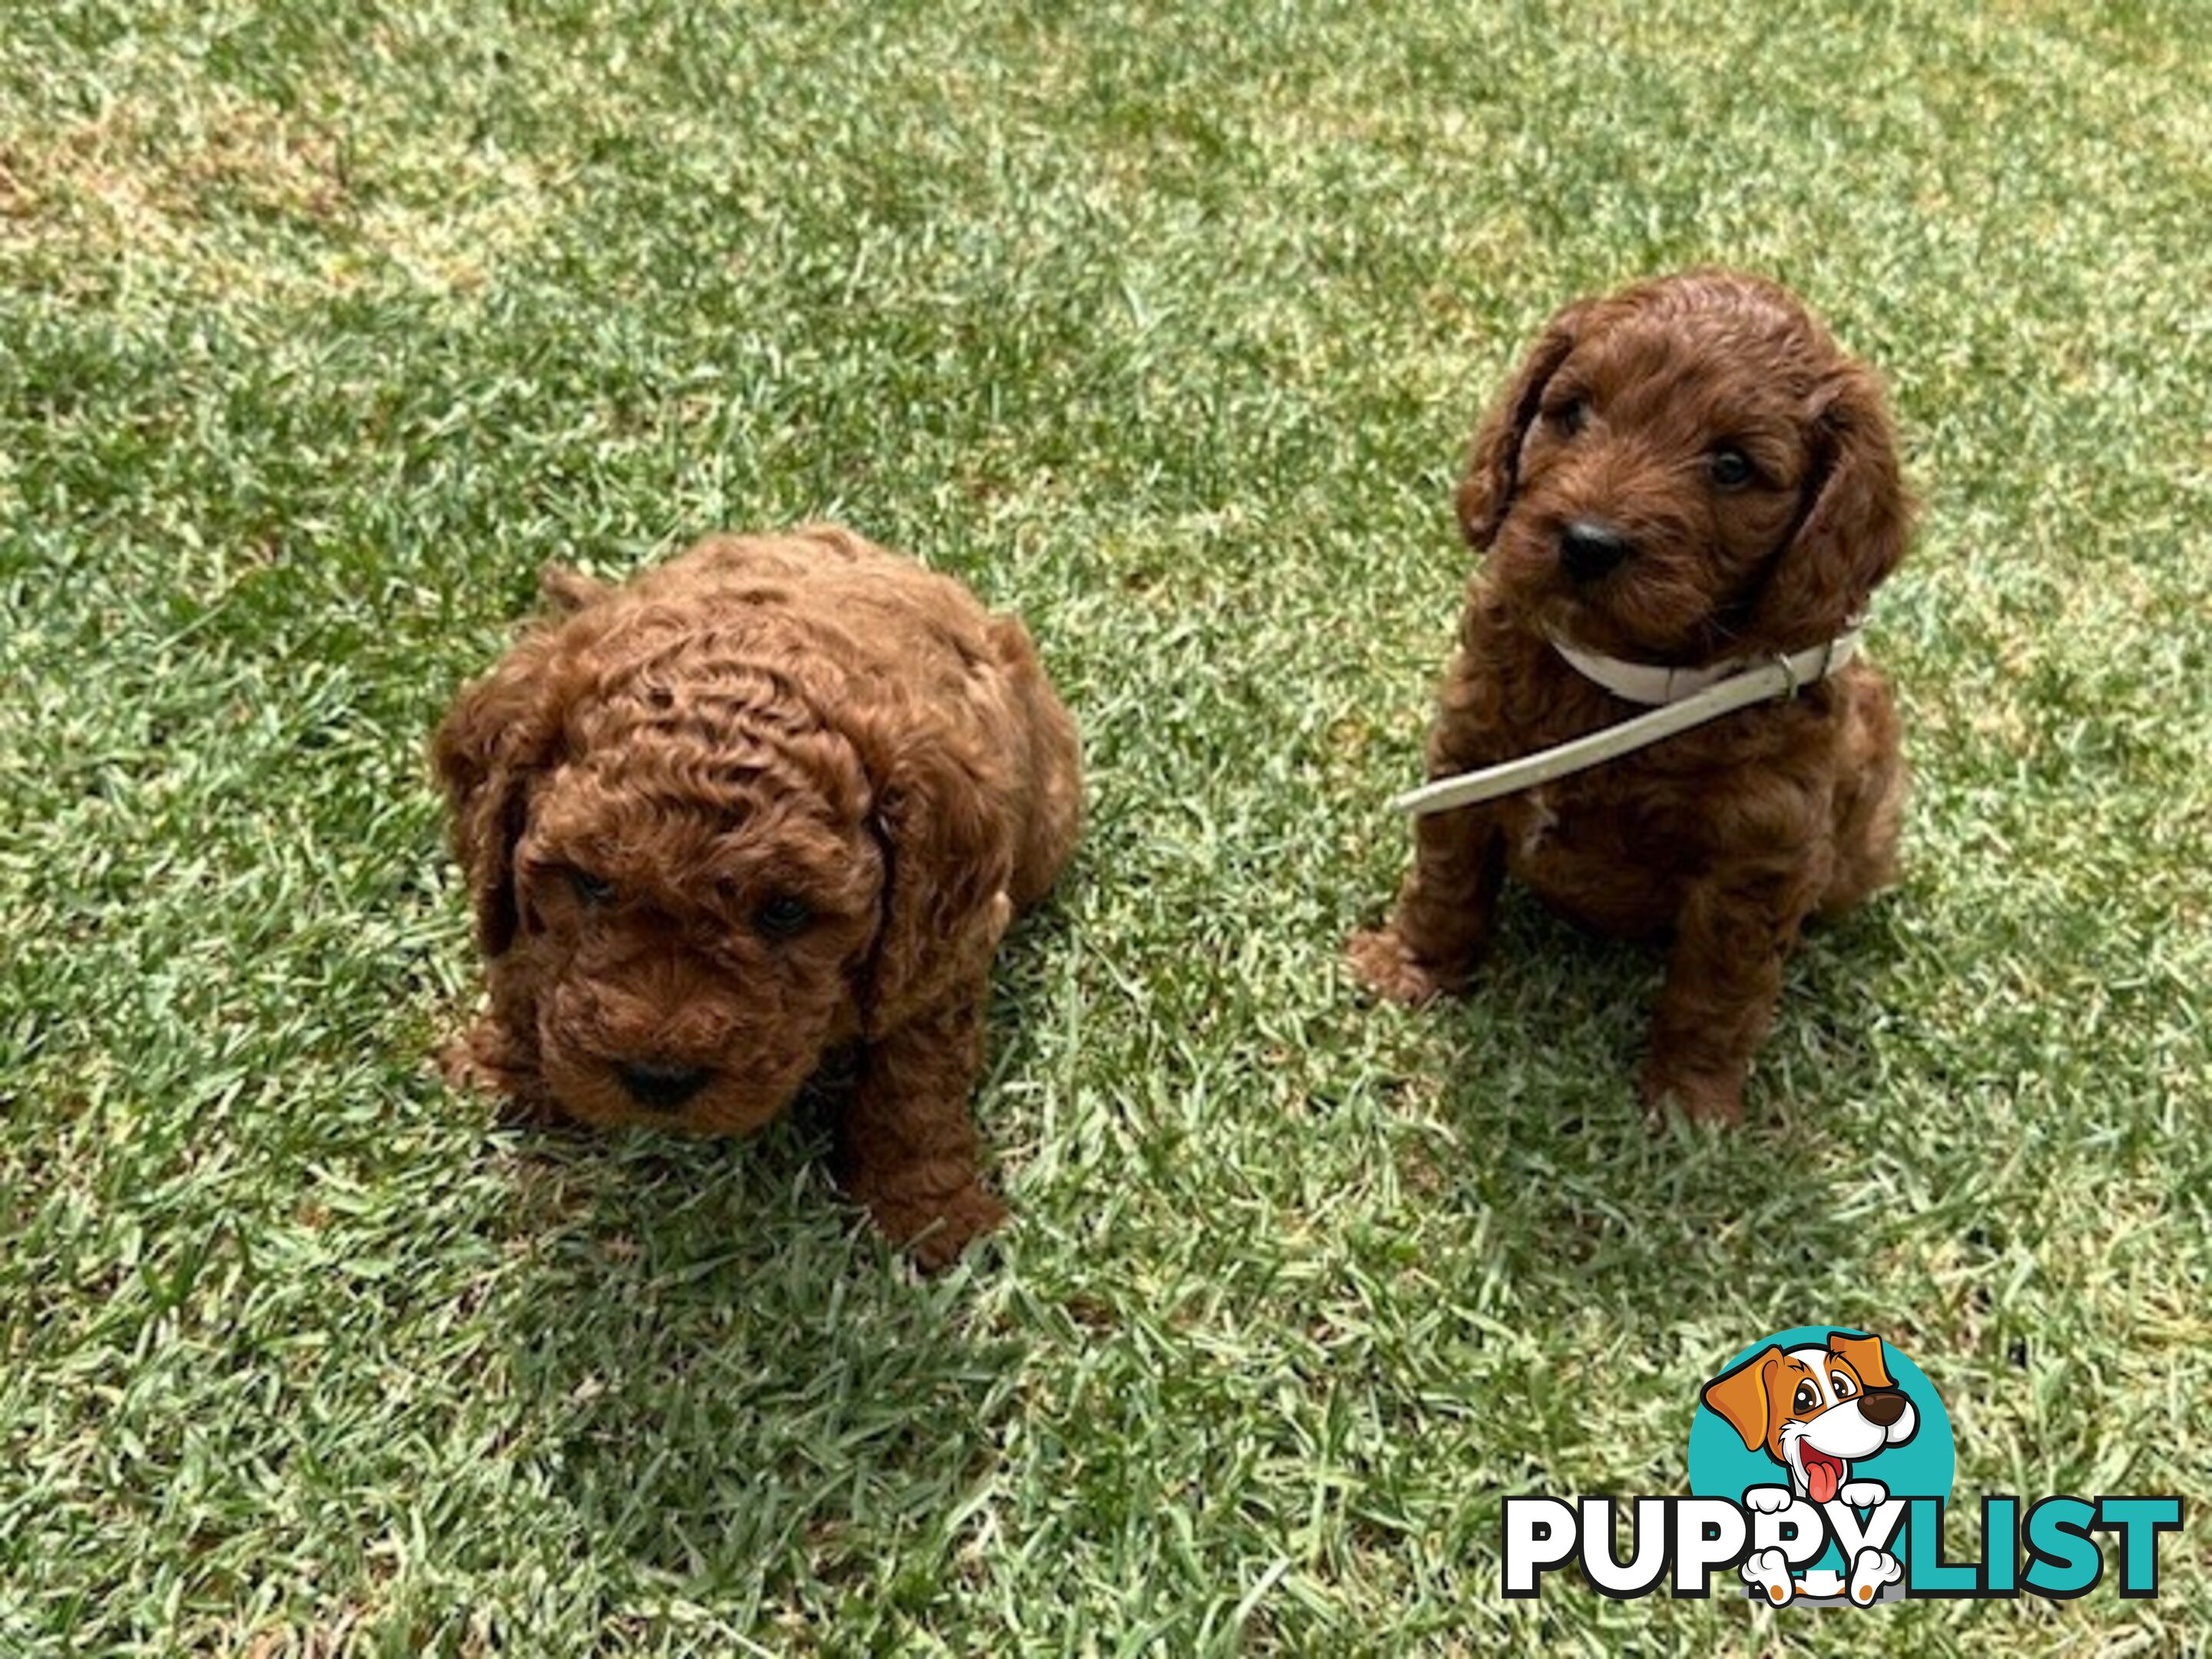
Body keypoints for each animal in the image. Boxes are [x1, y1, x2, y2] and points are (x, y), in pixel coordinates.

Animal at [431, 526, 1079, 1265]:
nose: (659, 1079)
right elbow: (519, 965)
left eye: (786, 911)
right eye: (592, 882)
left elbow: (915, 1078)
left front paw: (928, 1212)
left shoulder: (948, 943)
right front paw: (507, 1072)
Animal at [1345, 273, 1919, 1132]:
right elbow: (1445, 878)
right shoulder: (1469, 754)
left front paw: (1690, 1102)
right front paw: (1409, 967)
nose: (1587, 543)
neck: (1615, 685)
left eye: (1732, 466)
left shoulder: (1759, 857)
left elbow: (1719, 987)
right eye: (1573, 412)